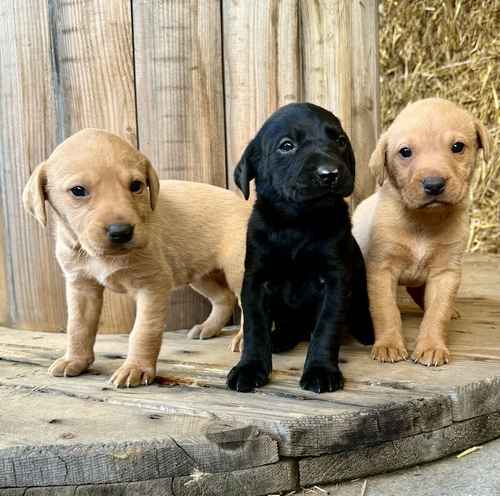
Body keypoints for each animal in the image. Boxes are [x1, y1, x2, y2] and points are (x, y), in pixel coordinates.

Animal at [23, 130, 250, 386]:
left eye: (136, 186)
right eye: (78, 190)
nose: (121, 231)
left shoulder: (151, 286)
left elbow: (143, 331)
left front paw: (137, 368)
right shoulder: (81, 286)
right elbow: (78, 327)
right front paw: (75, 360)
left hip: (238, 271)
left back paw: (243, 339)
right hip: (200, 274)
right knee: (224, 298)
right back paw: (208, 328)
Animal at [229, 102, 374, 394]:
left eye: (340, 141)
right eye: (287, 146)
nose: (330, 174)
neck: (298, 222)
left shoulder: (335, 280)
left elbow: (326, 329)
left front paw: (321, 370)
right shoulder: (255, 281)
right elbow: (254, 328)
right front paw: (249, 368)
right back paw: (279, 338)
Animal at [354, 99, 490, 366]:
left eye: (457, 147)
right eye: (405, 152)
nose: (434, 184)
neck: (424, 222)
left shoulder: (446, 273)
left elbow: (437, 313)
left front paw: (432, 346)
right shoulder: (381, 270)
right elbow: (386, 311)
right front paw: (388, 345)